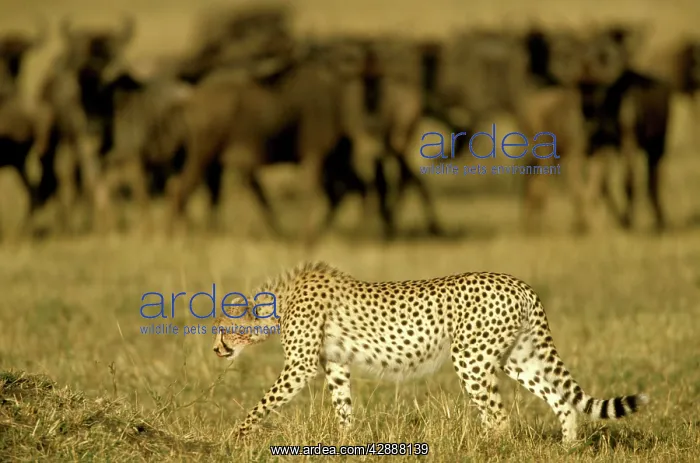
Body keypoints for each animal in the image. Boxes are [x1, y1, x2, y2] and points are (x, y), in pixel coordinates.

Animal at [212, 261, 648, 443]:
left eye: (222, 328)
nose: (216, 348)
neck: (281, 300)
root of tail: (519, 283)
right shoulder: (335, 363)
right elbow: (343, 405)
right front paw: (346, 442)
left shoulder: (300, 366)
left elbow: (262, 404)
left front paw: (234, 437)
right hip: (516, 357)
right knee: (561, 401)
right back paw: (568, 447)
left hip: (471, 358)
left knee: (499, 416)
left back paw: (483, 449)